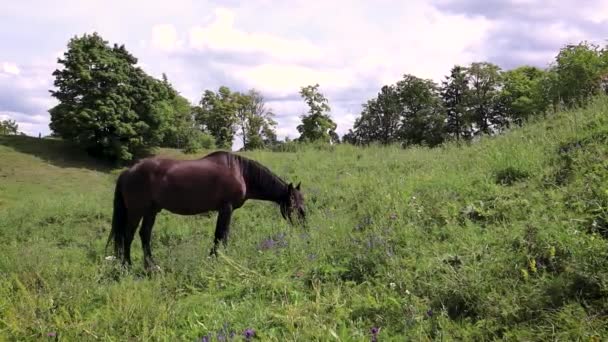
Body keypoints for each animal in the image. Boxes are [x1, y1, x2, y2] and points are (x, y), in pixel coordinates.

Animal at [105, 150, 306, 270]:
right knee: (128, 236)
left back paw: (152, 266)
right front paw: (219, 258)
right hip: (136, 211)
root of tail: (128, 171)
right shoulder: (226, 208)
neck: (241, 172)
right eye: (295, 204)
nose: (304, 226)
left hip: (151, 211)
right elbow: (221, 235)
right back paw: (128, 266)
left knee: (144, 235)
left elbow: (220, 235)